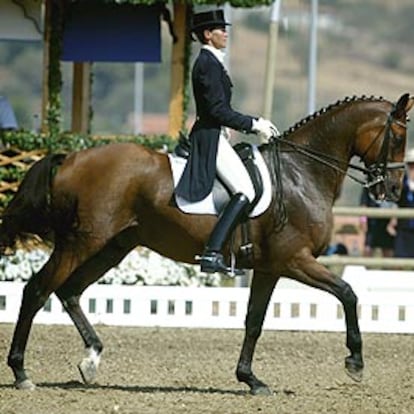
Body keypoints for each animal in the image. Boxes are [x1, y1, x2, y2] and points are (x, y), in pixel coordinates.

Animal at [0, 94, 412, 394]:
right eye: (398, 137)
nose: (392, 190)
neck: (302, 174)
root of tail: (72, 156)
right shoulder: (295, 260)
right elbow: (348, 293)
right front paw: (355, 363)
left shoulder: (269, 268)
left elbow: (254, 321)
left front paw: (250, 379)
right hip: (81, 242)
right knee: (37, 290)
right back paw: (21, 372)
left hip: (112, 246)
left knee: (69, 291)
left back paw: (91, 360)